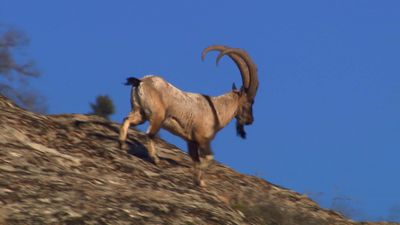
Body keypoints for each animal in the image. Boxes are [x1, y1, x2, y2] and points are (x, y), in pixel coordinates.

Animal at [118, 45, 260, 186]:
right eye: (250, 102)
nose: (250, 120)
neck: (217, 110)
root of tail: (141, 81)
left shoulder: (191, 141)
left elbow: (195, 159)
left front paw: (200, 182)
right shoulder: (202, 139)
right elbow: (208, 158)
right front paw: (198, 180)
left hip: (140, 113)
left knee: (127, 120)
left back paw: (122, 145)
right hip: (157, 116)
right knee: (149, 134)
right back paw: (155, 159)